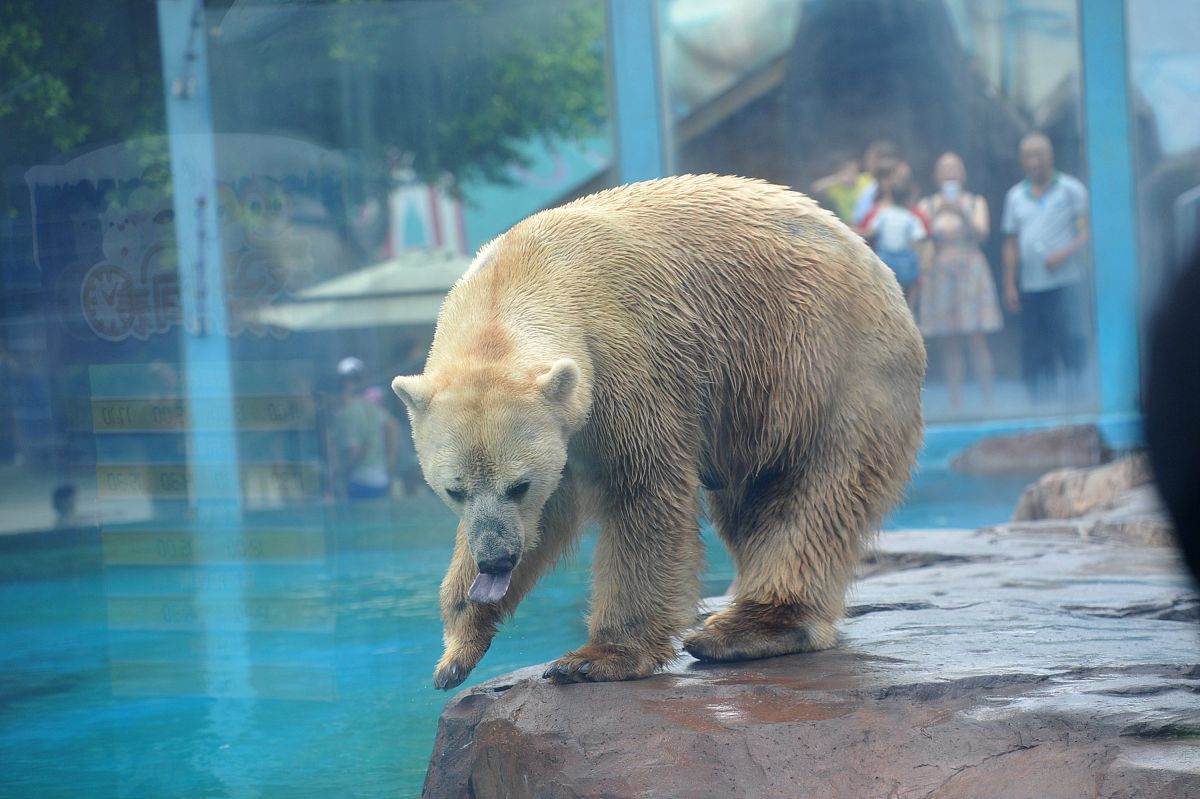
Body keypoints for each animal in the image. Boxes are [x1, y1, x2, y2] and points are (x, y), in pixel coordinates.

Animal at [391, 174, 925, 689]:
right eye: (454, 490)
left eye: (518, 485)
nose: (497, 561)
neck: (522, 273)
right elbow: (549, 511)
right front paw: (457, 651)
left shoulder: (623, 360)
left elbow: (642, 489)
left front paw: (596, 658)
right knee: (748, 505)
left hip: (829, 369)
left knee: (810, 494)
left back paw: (748, 628)